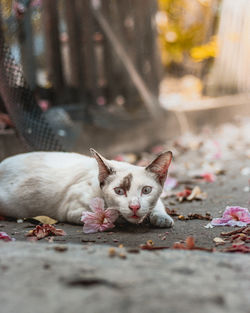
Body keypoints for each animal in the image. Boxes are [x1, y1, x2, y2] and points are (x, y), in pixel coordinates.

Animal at [0, 149, 175, 227]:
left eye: (146, 190)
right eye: (119, 191)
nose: (134, 207)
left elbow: (158, 205)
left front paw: (161, 218)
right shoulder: (73, 211)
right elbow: (109, 215)